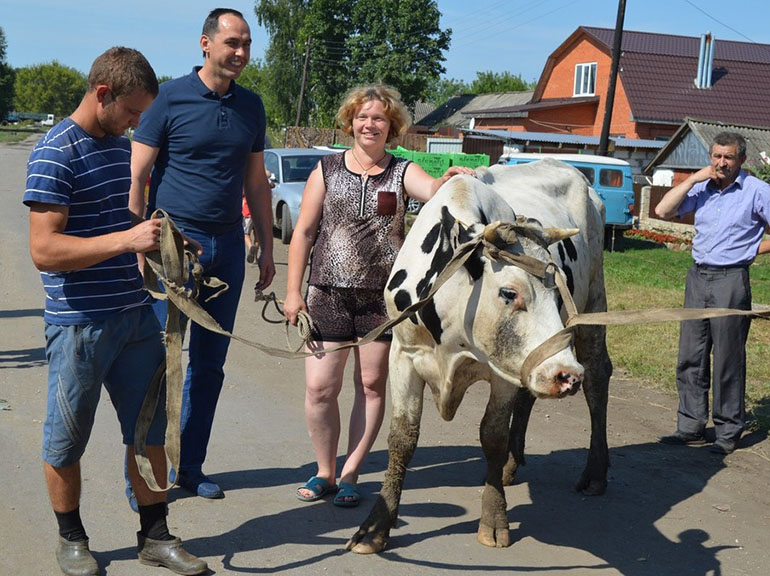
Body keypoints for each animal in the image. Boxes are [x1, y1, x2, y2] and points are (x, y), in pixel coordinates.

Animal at [344, 158, 608, 552]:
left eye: (559, 292)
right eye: (509, 293)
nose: (566, 374)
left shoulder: (501, 374)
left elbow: (492, 436)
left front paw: (494, 518)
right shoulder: (403, 355)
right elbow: (402, 438)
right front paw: (376, 526)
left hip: (592, 306)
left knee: (598, 379)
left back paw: (595, 473)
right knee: (532, 393)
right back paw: (513, 465)